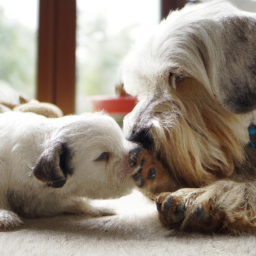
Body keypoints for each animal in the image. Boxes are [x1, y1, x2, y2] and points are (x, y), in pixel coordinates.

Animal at [0, 111, 136, 230]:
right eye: (103, 156)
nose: (135, 154)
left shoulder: (44, 201)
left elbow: (74, 201)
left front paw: (99, 207)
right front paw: (4, 216)